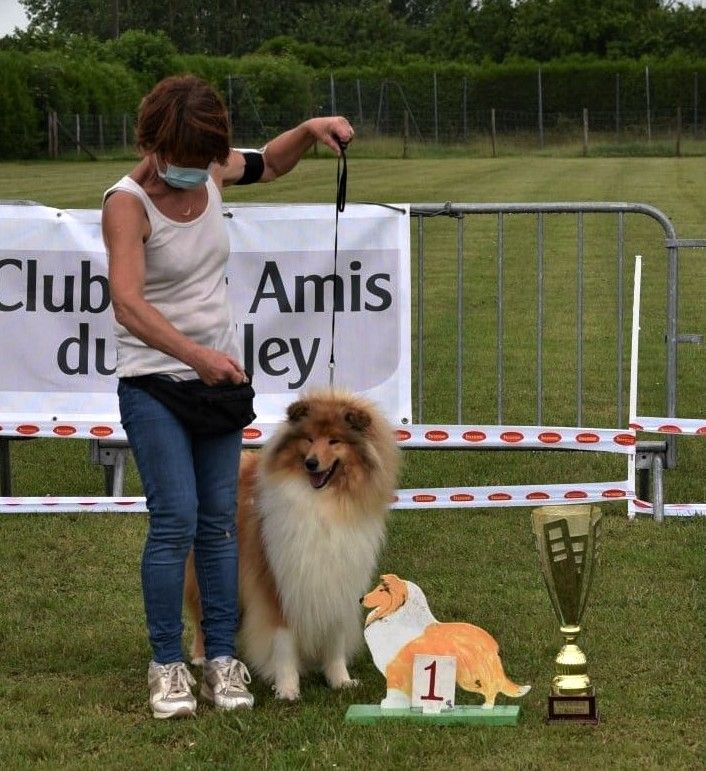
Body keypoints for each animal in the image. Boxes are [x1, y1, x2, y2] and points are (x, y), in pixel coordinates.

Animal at [184, 392, 398, 700]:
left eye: (335, 440)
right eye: (309, 439)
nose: (311, 463)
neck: (323, 504)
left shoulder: (338, 580)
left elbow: (334, 639)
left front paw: (340, 681)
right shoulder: (277, 583)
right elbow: (283, 641)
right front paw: (287, 689)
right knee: (203, 613)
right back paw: (202, 657)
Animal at [364, 572, 528, 712]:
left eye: (381, 590)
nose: (361, 599)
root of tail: (492, 645)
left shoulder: (394, 670)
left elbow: (394, 692)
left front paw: (389, 705)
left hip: (470, 676)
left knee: (492, 687)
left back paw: (487, 708)